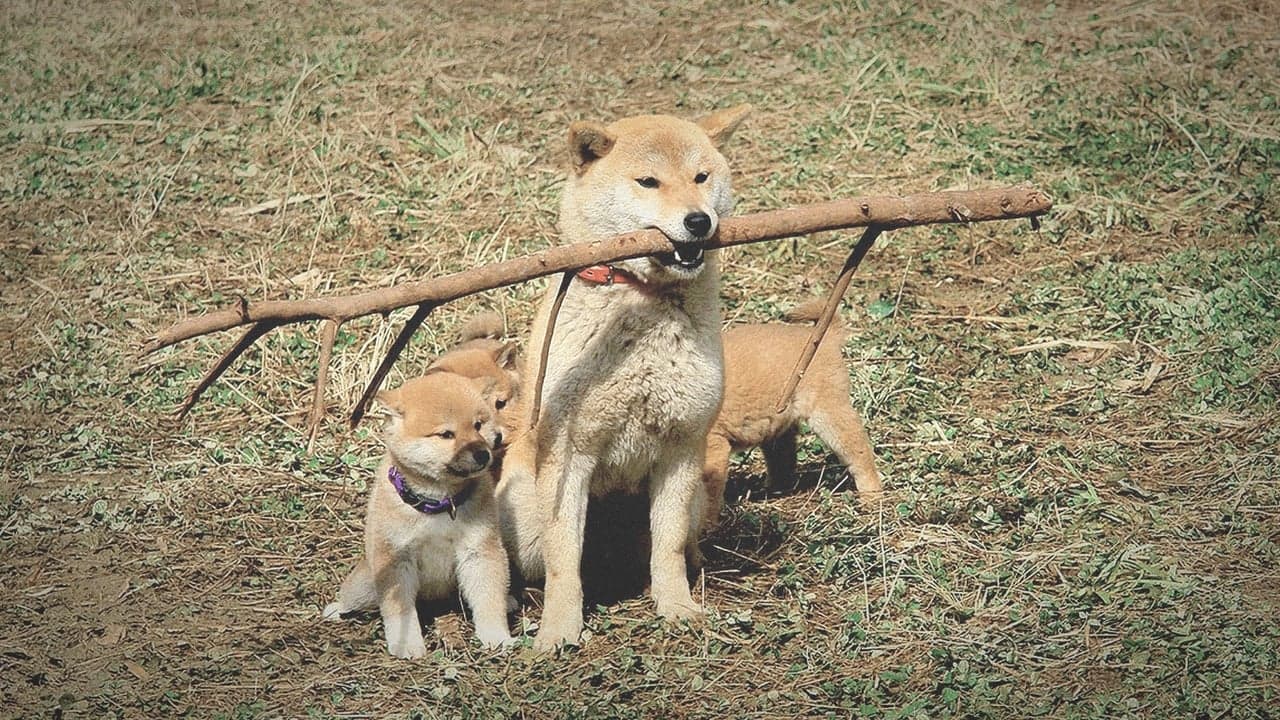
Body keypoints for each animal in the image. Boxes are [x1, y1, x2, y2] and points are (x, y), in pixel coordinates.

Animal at [322, 368, 512, 655]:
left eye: (478, 425)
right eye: (446, 434)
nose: (482, 454)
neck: (439, 505)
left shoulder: (480, 551)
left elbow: (489, 598)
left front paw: (496, 636)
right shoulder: (395, 559)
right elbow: (400, 613)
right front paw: (406, 644)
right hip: (366, 582)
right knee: (352, 598)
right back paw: (335, 610)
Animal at [491, 103, 747, 648]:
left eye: (701, 177)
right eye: (648, 182)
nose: (699, 220)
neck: (643, 302)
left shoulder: (681, 447)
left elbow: (667, 551)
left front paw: (677, 608)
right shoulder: (569, 455)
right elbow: (564, 562)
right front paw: (559, 631)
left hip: (693, 499)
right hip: (523, 507)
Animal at [701, 298, 880, 532]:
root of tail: (825, 338)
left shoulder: (713, 449)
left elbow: (706, 499)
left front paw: (706, 530)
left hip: (831, 417)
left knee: (860, 455)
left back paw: (872, 497)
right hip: (777, 432)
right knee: (784, 464)